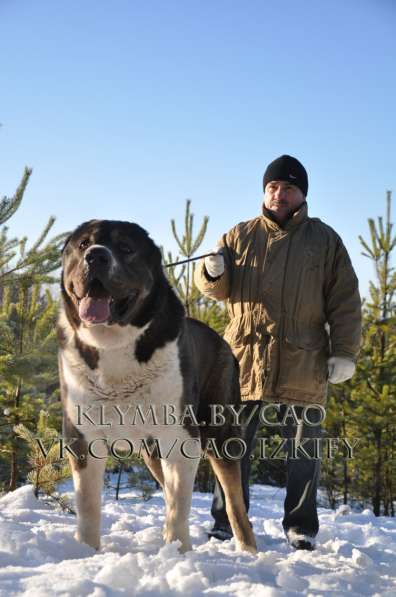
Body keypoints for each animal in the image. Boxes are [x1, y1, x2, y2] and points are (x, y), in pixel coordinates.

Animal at [58, 219, 256, 556]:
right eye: (83, 244)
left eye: (126, 248)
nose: (96, 256)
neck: (113, 345)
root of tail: (223, 343)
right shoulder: (82, 434)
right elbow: (88, 504)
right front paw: (85, 552)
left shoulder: (180, 436)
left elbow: (180, 505)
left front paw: (177, 553)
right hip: (151, 450)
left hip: (221, 433)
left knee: (233, 502)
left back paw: (249, 551)